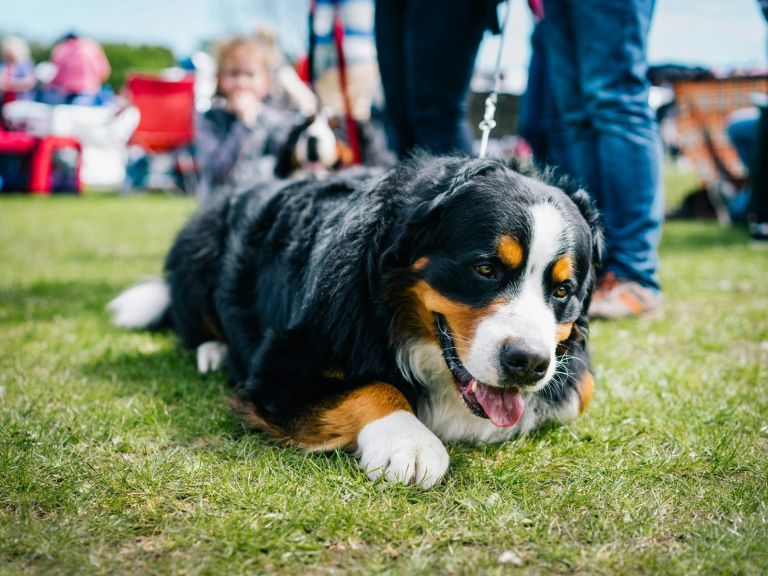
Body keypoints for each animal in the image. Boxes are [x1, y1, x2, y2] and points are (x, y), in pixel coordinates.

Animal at [109, 155, 600, 488]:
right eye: (485, 269)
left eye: (562, 291)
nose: (529, 363)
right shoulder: (279, 368)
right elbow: (374, 387)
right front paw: (410, 443)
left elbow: (580, 391)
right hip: (201, 250)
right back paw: (212, 350)